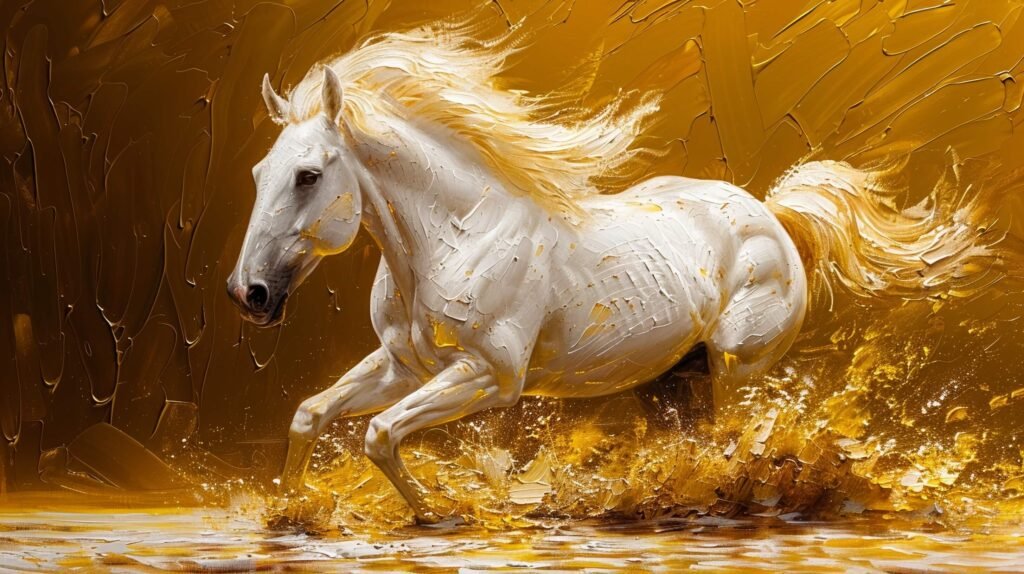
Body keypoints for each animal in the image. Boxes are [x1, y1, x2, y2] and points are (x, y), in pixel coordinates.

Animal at [226, 24, 992, 523]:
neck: (456, 235)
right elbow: (310, 414)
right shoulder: (402, 364)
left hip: (736, 370)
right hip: (672, 379)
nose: (248, 294)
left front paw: (440, 514)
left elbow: (380, 434)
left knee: (739, 442)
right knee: (693, 446)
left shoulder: (489, 377)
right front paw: (291, 509)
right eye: (258, 172)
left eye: (307, 175)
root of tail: (771, 215)